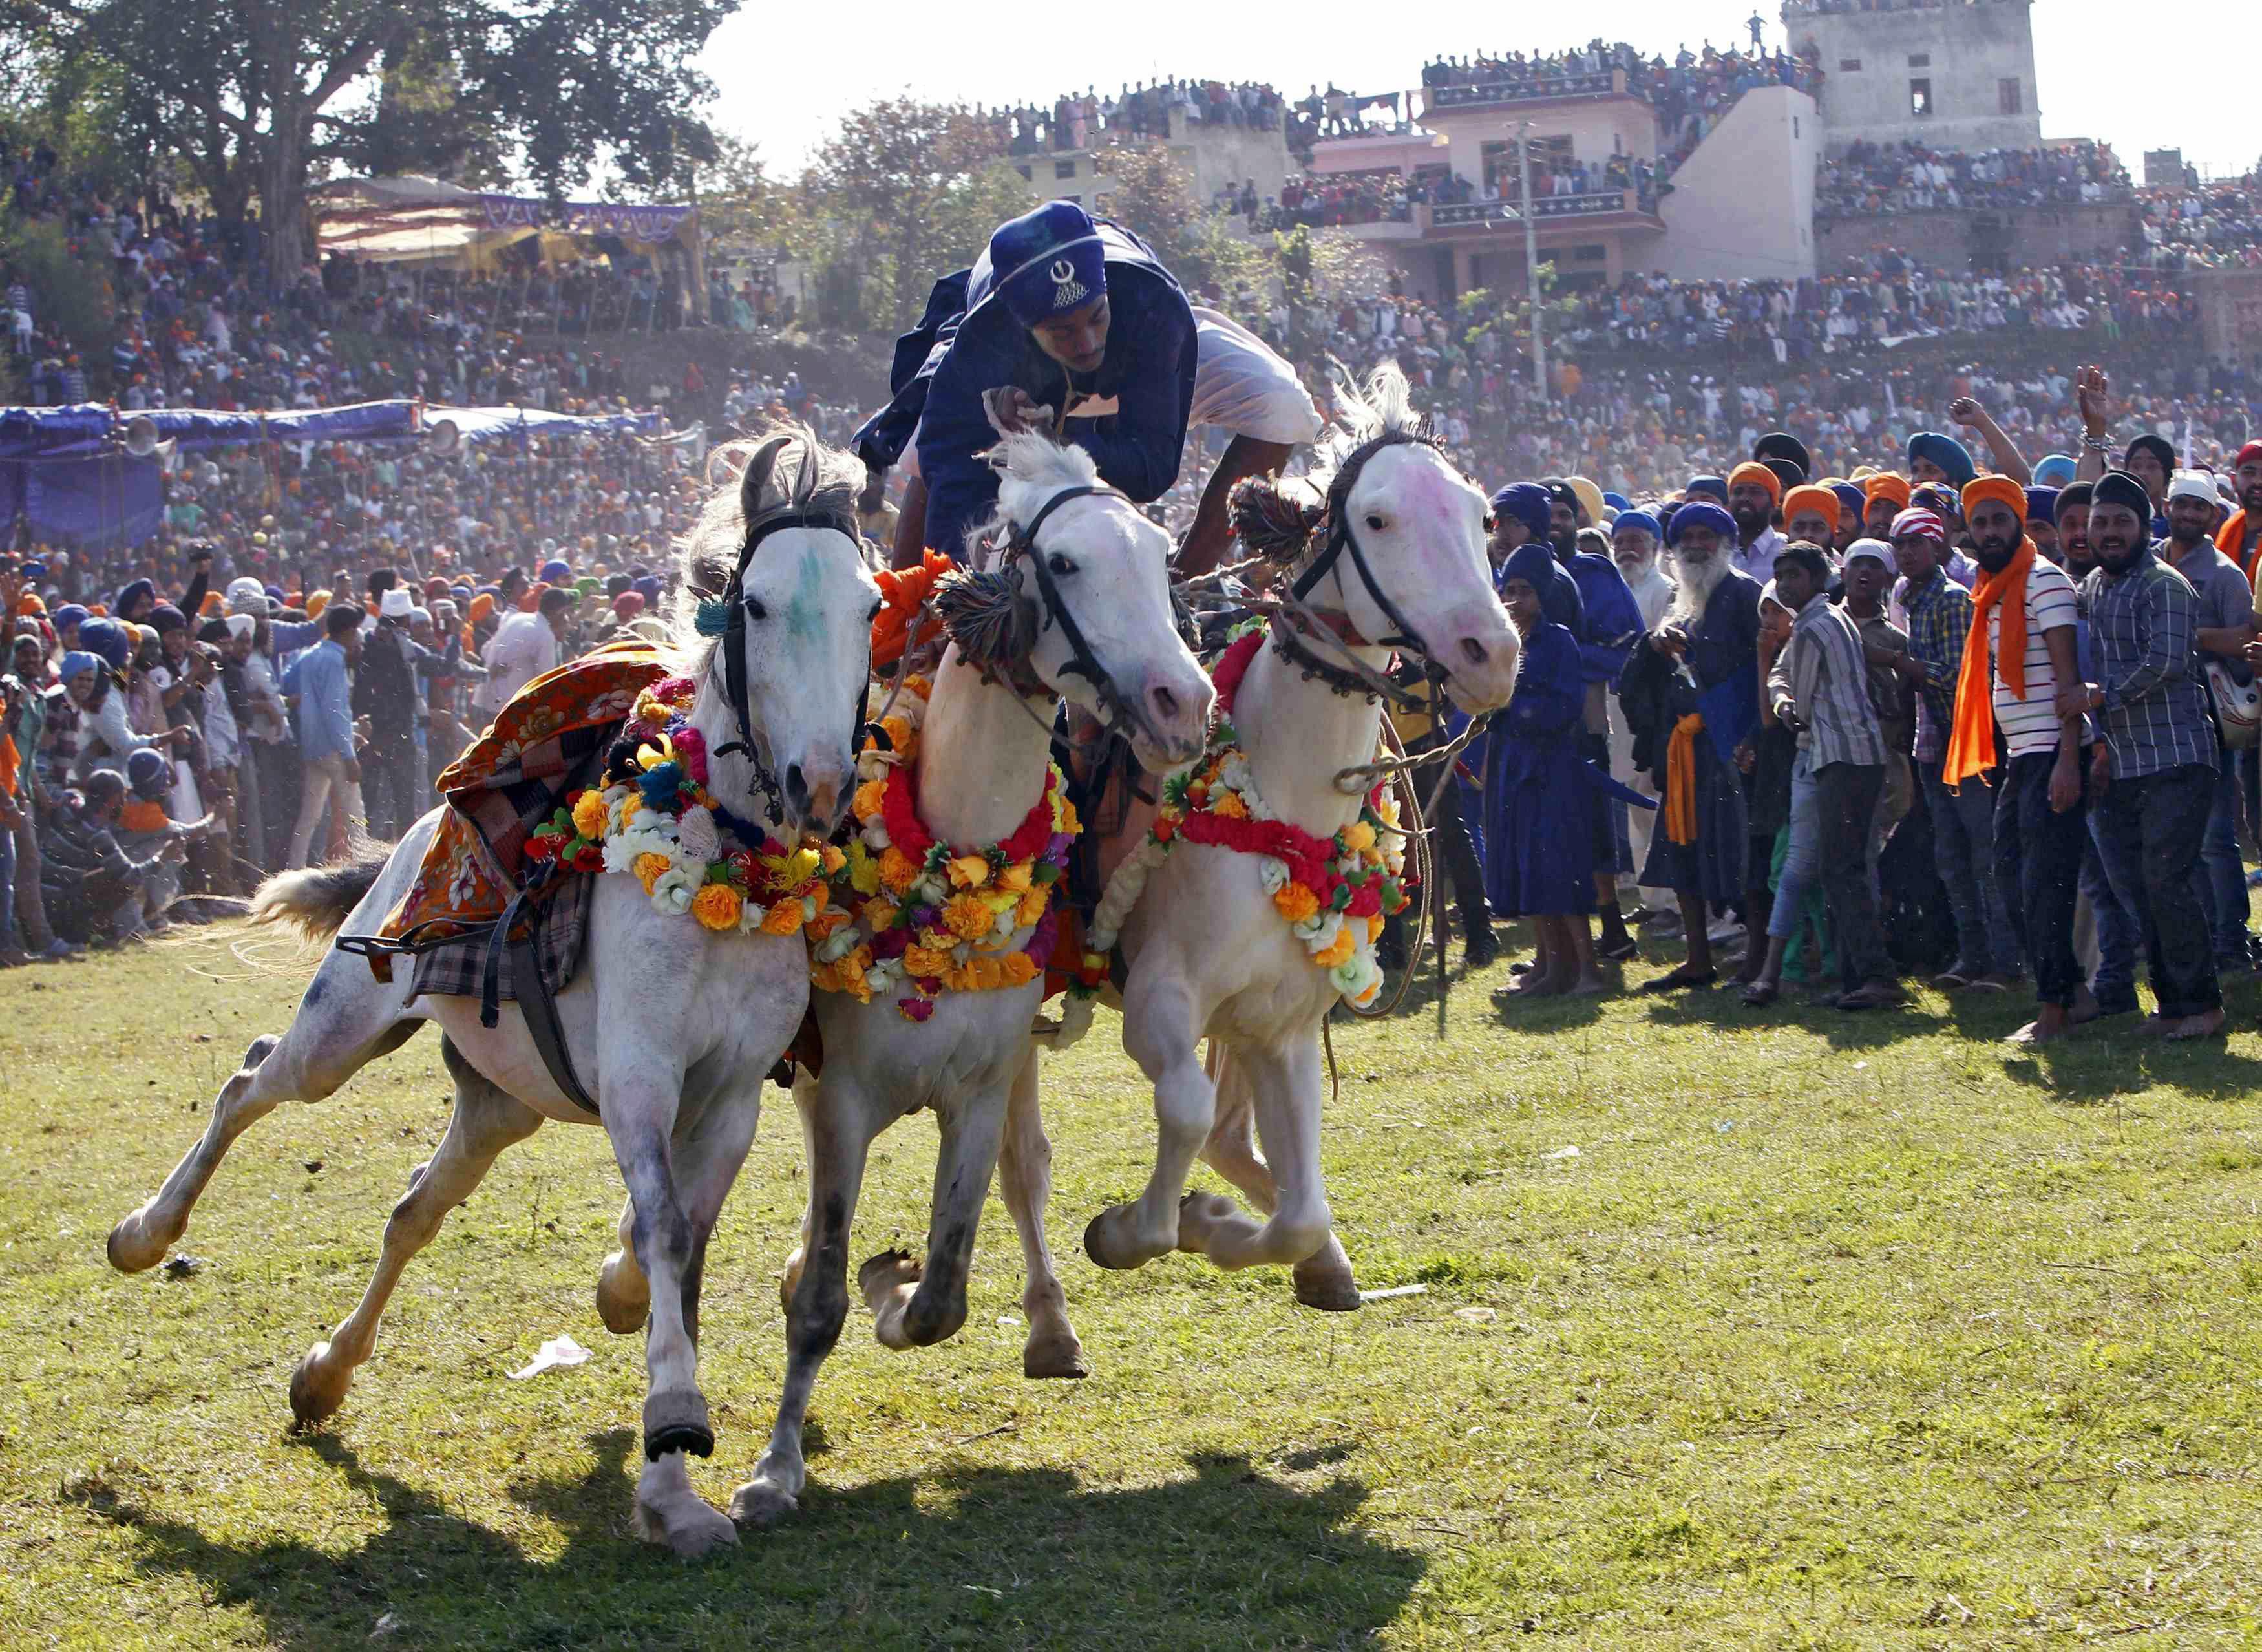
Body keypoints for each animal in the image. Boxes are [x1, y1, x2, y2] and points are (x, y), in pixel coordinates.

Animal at [106, 427, 882, 1556]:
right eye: (761, 606)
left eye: (871, 607)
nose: (819, 784)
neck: (719, 870)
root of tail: (415, 833)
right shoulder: (641, 1080)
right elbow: (662, 1229)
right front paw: (673, 1463)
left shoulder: (732, 1094)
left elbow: (676, 1239)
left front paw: (629, 1324)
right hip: (345, 1027)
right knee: (252, 1083)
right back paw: (143, 1235)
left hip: (500, 1103)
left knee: (410, 1211)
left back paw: (323, 1377)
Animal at [1063, 364, 1520, 1303]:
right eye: (1377, 519)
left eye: (1478, 515)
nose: (1490, 654)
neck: (1282, 794)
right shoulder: (1160, 1000)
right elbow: (1186, 1113)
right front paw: (1131, 1229)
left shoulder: (1280, 1022)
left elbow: (1297, 1202)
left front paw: (1225, 1227)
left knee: (1236, 1137)